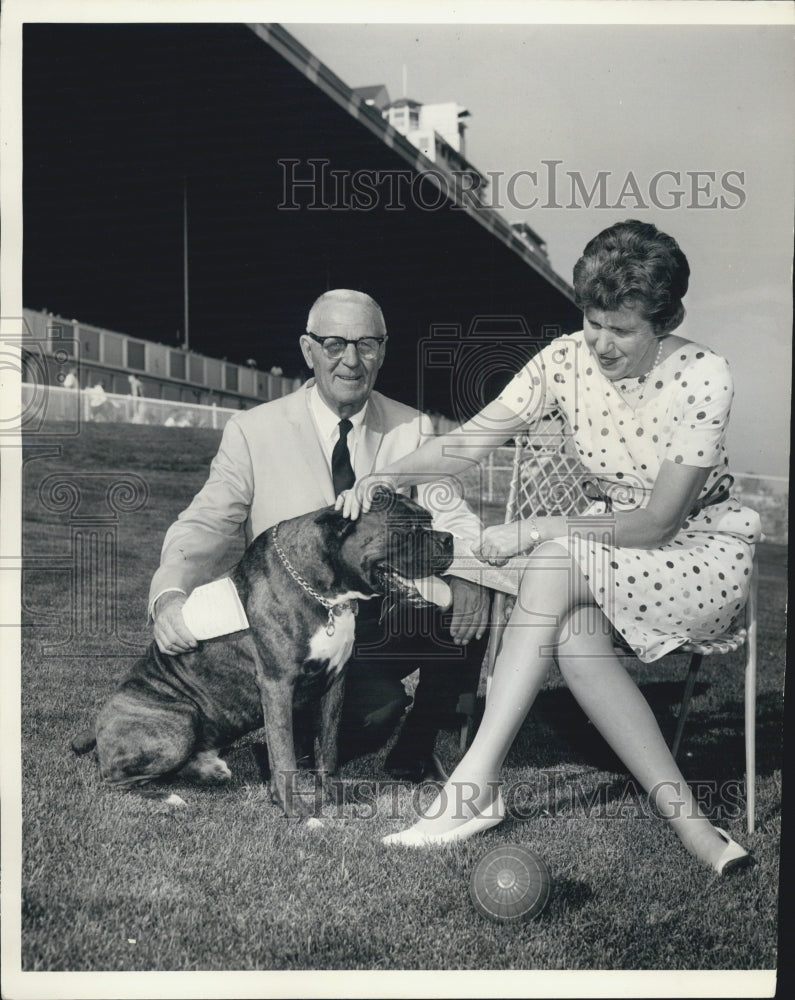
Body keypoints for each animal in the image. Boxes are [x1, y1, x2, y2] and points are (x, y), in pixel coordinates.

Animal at [71, 488, 458, 816]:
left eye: (430, 521)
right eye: (405, 529)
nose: (448, 539)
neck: (325, 593)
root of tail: (99, 724)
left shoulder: (335, 683)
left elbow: (329, 748)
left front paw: (335, 796)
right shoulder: (277, 685)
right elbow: (284, 755)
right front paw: (297, 812)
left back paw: (208, 771)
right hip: (178, 722)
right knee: (114, 780)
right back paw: (167, 797)